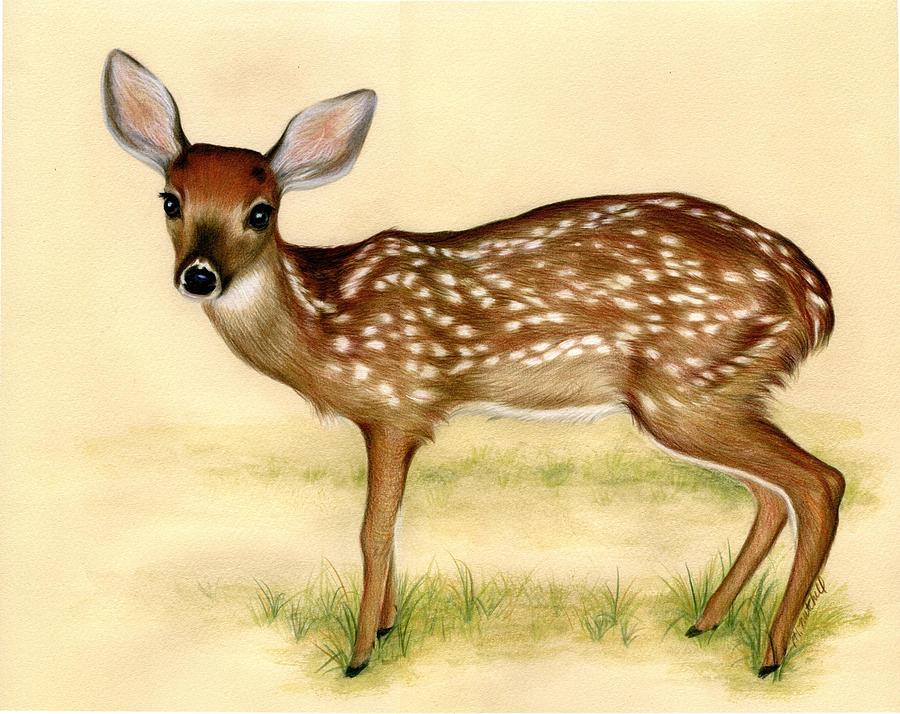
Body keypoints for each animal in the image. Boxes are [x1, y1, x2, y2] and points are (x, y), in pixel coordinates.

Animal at [101, 49, 844, 679]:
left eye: (260, 212)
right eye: (171, 201)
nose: (199, 276)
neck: (324, 323)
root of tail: (814, 297)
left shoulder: (395, 406)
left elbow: (373, 531)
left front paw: (360, 655)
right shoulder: (395, 419)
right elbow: (393, 528)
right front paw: (389, 628)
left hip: (689, 388)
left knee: (819, 483)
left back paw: (770, 656)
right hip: (714, 393)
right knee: (771, 495)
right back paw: (706, 623)